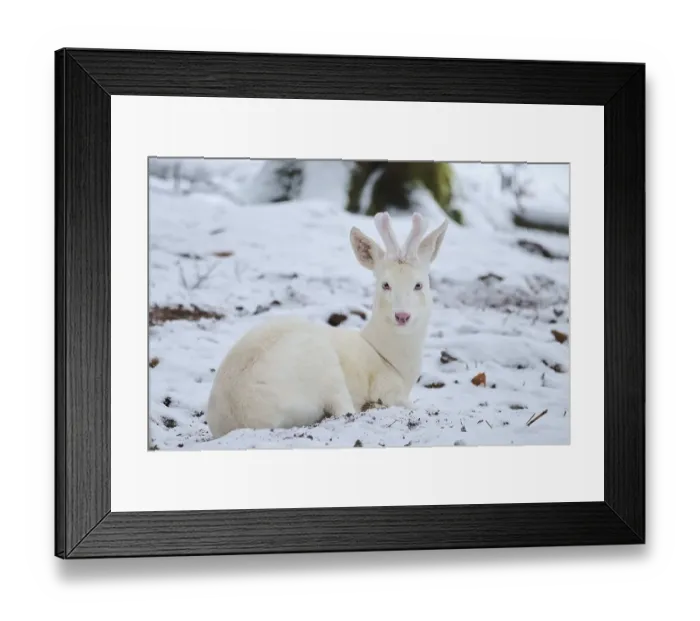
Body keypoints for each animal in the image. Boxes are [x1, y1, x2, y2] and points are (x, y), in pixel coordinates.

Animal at [206, 211, 449, 439]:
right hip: (325, 369)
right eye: (385, 284)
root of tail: (241, 417)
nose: (402, 316)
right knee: (344, 409)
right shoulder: (387, 388)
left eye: (419, 284)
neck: (386, 356)